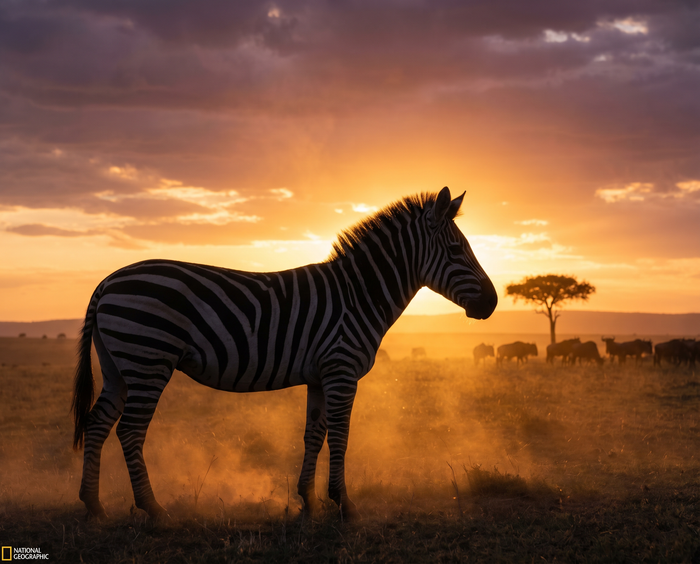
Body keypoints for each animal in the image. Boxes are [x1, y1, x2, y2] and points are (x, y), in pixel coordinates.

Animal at [72, 186, 498, 521]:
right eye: (457, 249)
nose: (493, 303)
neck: (358, 295)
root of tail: (107, 282)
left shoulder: (320, 376)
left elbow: (314, 435)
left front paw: (307, 500)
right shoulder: (341, 370)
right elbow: (340, 436)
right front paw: (344, 504)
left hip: (119, 367)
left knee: (97, 423)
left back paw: (93, 505)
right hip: (148, 359)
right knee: (129, 431)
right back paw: (154, 509)